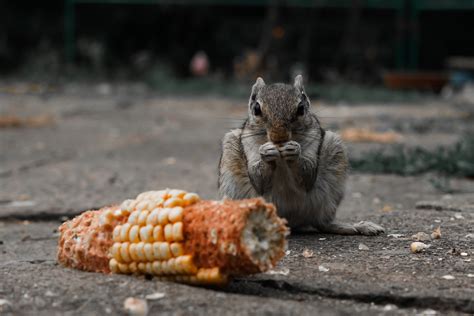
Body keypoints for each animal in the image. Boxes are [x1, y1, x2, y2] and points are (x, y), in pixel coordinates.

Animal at [218, 76, 386, 235]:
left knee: (323, 224)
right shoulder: (249, 145)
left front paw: (294, 151)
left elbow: (308, 175)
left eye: (301, 109)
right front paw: (266, 151)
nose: (279, 137)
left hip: (333, 179)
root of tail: (288, 222)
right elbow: (257, 178)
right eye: (257, 109)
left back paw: (357, 227)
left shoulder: (314, 140)